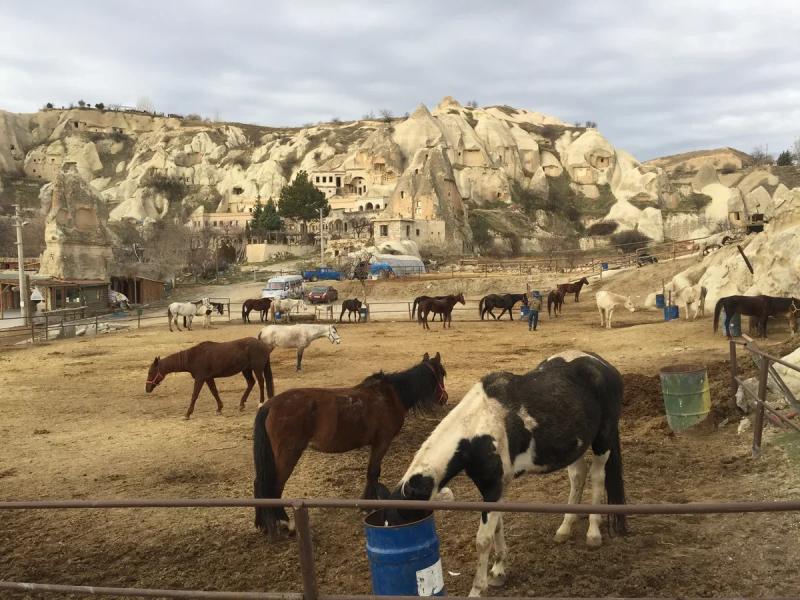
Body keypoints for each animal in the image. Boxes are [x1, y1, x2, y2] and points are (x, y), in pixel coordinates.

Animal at [146, 336, 276, 420]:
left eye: (151, 372)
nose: (147, 389)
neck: (193, 357)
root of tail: (264, 345)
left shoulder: (200, 379)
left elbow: (194, 395)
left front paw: (187, 414)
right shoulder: (208, 378)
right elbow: (214, 392)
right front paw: (219, 409)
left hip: (257, 368)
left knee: (261, 383)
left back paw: (260, 403)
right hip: (246, 370)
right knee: (251, 383)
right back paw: (241, 405)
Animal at [253, 352, 446, 540]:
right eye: (443, 374)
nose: (445, 399)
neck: (390, 396)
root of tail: (270, 405)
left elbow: (372, 473)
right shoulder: (382, 442)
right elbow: (373, 472)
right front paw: (367, 505)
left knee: (259, 483)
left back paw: (263, 524)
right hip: (288, 454)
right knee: (275, 487)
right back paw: (285, 523)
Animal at [386, 350, 624, 596]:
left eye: (404, 519)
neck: (477, 429)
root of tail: (603, 365)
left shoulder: (493, 489)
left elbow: (483, 540)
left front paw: (478, 589)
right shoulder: (495, 490)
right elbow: (497, 528)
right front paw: (499, 571)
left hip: (602, 442)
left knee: (598, 477)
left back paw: (593, 533)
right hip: (576, 446)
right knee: (578, 476)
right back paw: (565, 528)